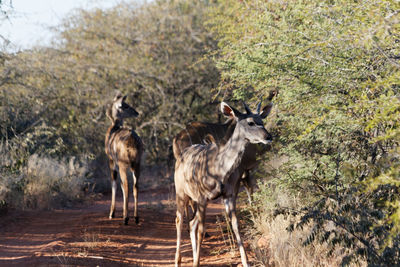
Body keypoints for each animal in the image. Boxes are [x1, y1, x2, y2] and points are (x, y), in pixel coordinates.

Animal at [104, 92, 144, 226]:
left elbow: (114, 184)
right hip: (137, 165)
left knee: (125, 185)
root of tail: (132, 141)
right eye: (125, 106)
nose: (137, 112)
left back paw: (126, 218)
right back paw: (136, 217)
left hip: (123, 165)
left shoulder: (112, 161)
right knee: (136, 187)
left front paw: (112, 213)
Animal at [174, 101, 272, 266]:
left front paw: (246, 262)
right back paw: (178, 261)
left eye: (262, 121)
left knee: (192, 223)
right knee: (180, 220)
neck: (220, 168)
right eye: (250, 122)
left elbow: (236, 225)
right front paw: (196, 263)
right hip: (181, 194)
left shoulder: (229, 195)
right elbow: (201, 230)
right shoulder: (203, 198)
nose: (268, 136)